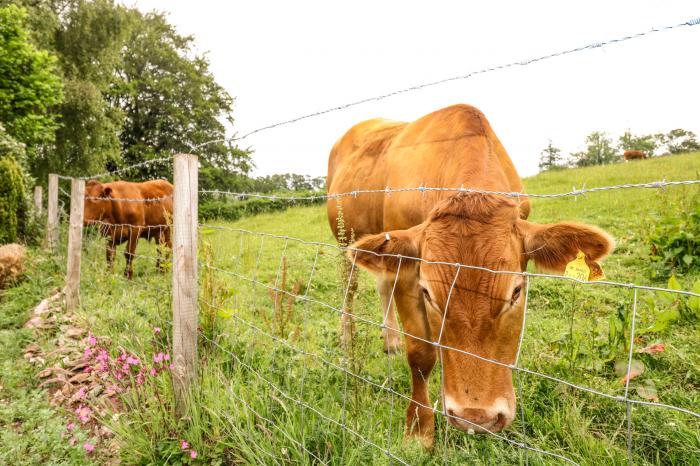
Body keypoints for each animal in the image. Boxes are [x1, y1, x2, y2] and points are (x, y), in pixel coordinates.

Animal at [328, 105, 612, 448]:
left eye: (516, 292)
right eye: (428, 293)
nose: (476, 417)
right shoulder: (409, 272)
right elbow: (421, 354)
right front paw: (419, 429)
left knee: (382, 283)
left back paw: (391, 340)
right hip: (345, 240)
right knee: (350, 287)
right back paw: (348, 337)